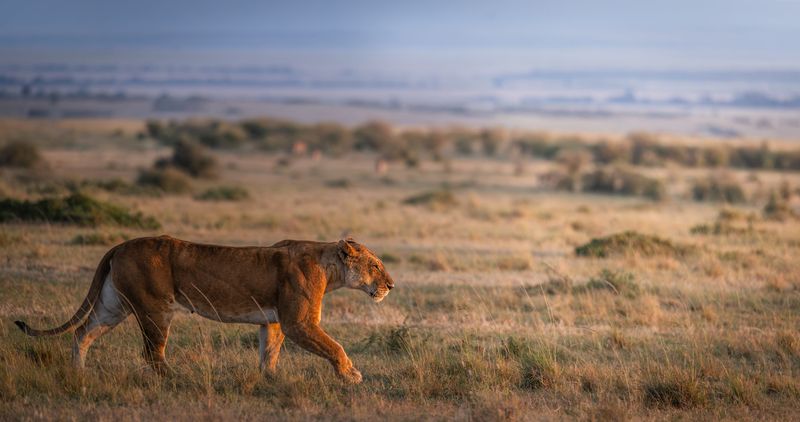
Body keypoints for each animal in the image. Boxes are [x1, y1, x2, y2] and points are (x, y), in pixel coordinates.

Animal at [14, 235, 394, 384]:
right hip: (155, 308)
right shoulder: (298, 323)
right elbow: (335, 346)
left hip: (113, 305)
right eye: (375, 265)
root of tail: (121, 244)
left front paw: (270, 380)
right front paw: (351, 375)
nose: (391, 285)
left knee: (82, 332)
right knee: (152, 353)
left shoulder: (273, 321)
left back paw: (77, 373)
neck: (329, 267)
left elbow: (269, 353)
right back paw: (177, 380)